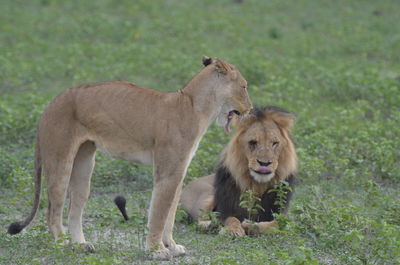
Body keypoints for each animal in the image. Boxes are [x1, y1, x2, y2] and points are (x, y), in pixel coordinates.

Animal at [7, 56, 253, 258]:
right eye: (244, 87)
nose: (251, 109)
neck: (197, 107)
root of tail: (50, 104)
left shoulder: (179, 171)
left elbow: (170, 213)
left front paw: (172, 246)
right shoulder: (167, 172)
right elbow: (159, 213)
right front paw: (157, 250)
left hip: (84, 163)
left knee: (73, 209)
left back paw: (82, 245)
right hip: (60, 159)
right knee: (52, 210)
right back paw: (63, 245)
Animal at [180, 106, 296, 234]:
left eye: (275, 143)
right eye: (253, 142)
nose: (264, 164)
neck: (255, 185)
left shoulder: (283, 215)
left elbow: (277, 224)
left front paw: (250, 225)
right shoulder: (226, 208)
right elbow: (231, 218)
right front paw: (233, 230)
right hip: (207, 195)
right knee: (200, 219)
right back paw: (210, 224)